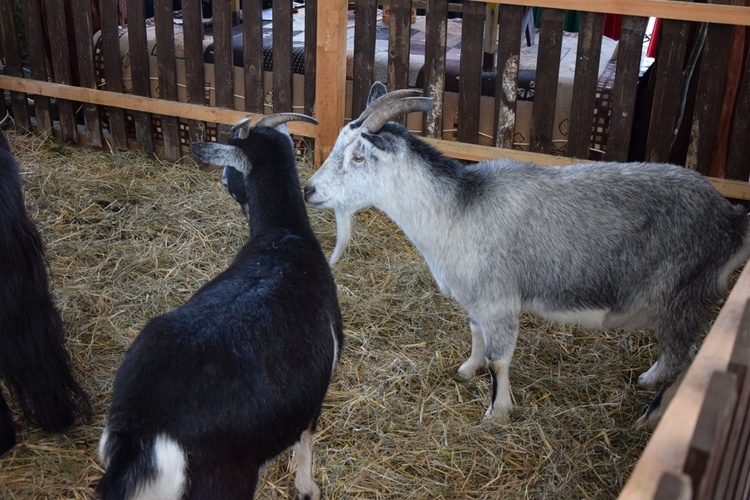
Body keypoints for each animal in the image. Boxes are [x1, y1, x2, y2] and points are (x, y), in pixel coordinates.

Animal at [97, 114, 344, 500]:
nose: (223, 180)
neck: (283, 235)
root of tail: (142, 434)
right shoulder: (317, 387)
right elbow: (305, 437)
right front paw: (306, 487)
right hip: (225, 481)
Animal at [304, 83, 750, 426]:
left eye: (358, 156)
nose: (309, 190)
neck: (457, 209)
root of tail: (732, 219)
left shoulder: (500, 299)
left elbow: (500, 359)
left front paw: (496, 413)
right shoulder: (477, 298)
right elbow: (475, 333)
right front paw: (467, 370)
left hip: (682, 294)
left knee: (683, 356)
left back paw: (650, 415)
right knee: (679, 356)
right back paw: (649, 380)